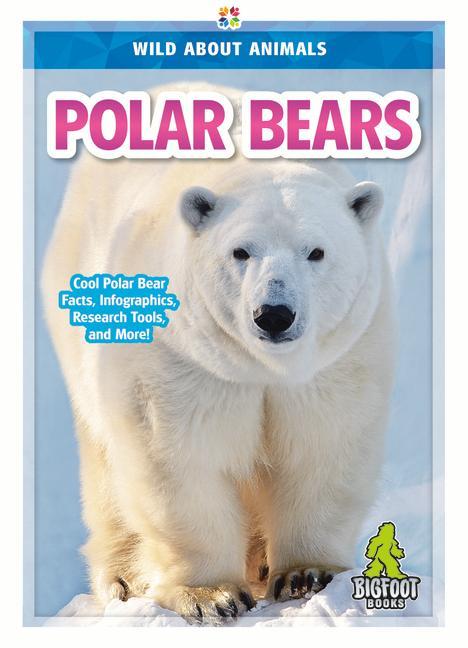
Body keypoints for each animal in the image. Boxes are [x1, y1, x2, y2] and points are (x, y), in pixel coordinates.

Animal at [42, 82, 396, 624]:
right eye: (241, 251)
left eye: (316, 251)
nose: (274, 314)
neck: (262, 367)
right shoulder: (182, 358)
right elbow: (180, 457)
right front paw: (213, 595)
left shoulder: (337, 359)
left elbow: (322, 446)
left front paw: (306, 574)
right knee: (106, 472)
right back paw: (124, 577)